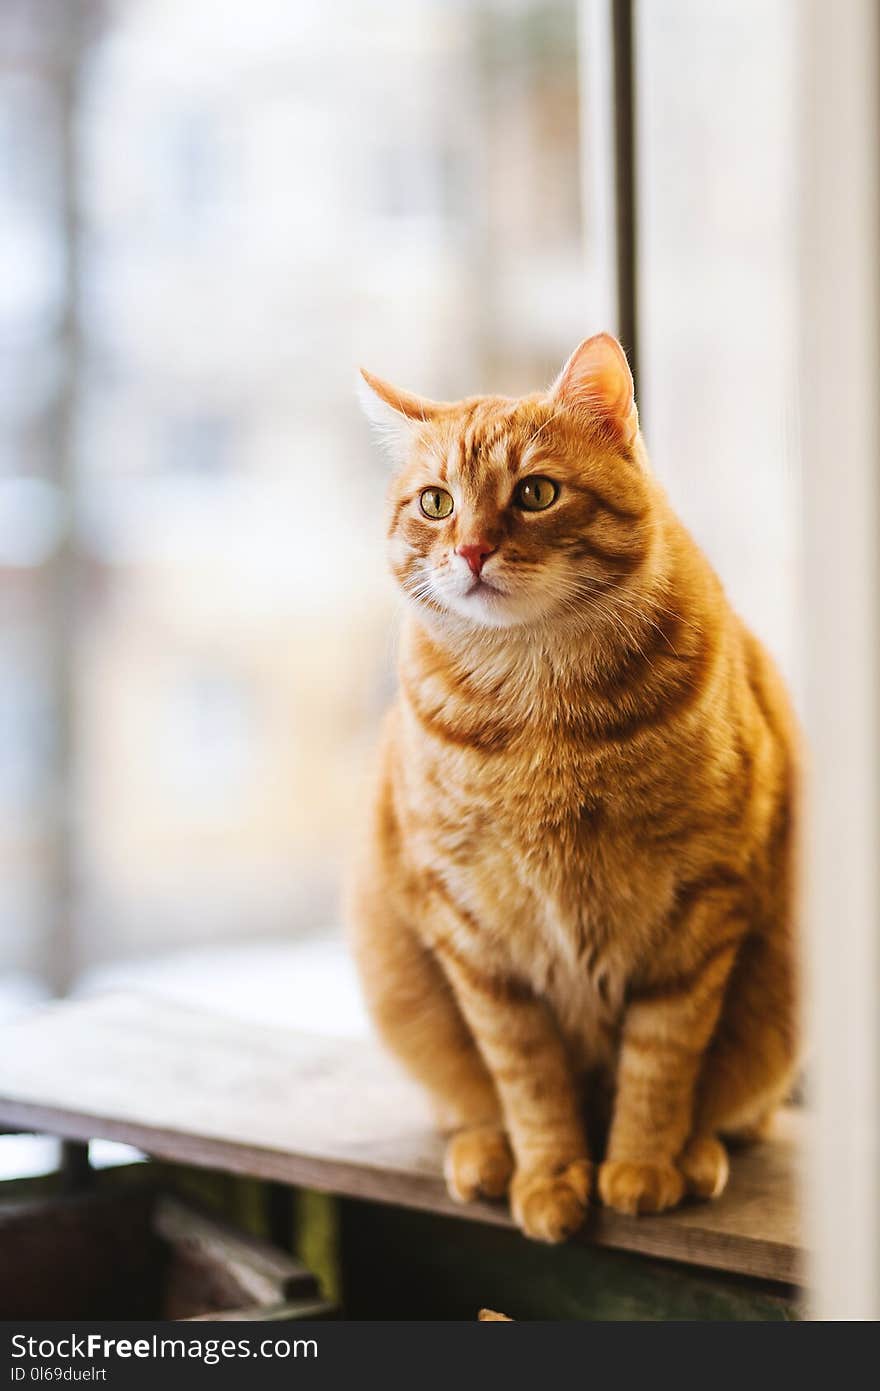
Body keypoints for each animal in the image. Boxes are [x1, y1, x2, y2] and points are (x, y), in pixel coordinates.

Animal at [348, 333, 795, 1240]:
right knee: (469, 1100)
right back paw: (485, 1152)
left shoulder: (701, 908)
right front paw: (552, 1173)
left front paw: (641, 1163)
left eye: (536, 492)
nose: (472, 550)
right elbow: (526, 1075)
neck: (541, 711)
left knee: (740, 1108)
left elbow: (662, 1059)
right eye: (437, 503)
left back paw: (697, 1153)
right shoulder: (474, 934)